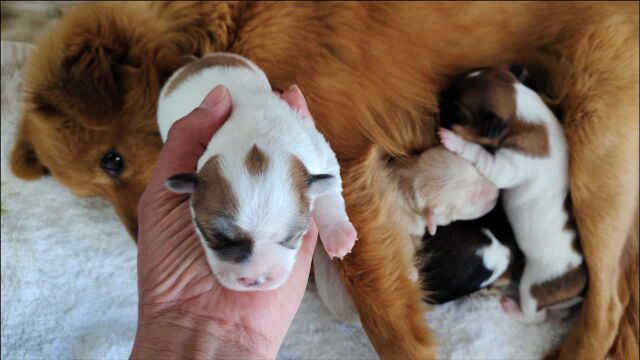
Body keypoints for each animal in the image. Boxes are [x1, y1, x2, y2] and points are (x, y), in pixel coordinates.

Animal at [154, 52, 356, 290]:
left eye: (290, 237)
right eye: (218, 237)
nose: (254, 280)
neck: (258, 133)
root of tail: (198, 61)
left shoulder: (316, 150)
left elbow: (329, 190)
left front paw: (339, 235)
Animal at [438, 64, 588, 324]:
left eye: (458, 109)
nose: (440, 95)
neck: (523, 111)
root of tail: (579, 288)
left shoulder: (505, 167)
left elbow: (479, 153)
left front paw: (454, 139)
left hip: (533, 285)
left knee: (536, 316)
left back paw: (512, 307)